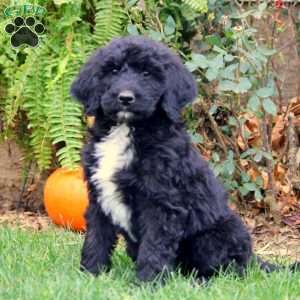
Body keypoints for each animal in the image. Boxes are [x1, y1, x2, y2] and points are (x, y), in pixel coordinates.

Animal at [72, 37, 292, 282]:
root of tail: (254, 258)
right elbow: (96, 240)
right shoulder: (98, 199)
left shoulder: (162, 203)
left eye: (147, 73)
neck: (126, 130)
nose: (126, 98)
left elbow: (154, 247)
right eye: (113, 70)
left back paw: (200, 282)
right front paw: (89, 276)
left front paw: (147, 282)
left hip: (216, 235)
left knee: (230, 270)